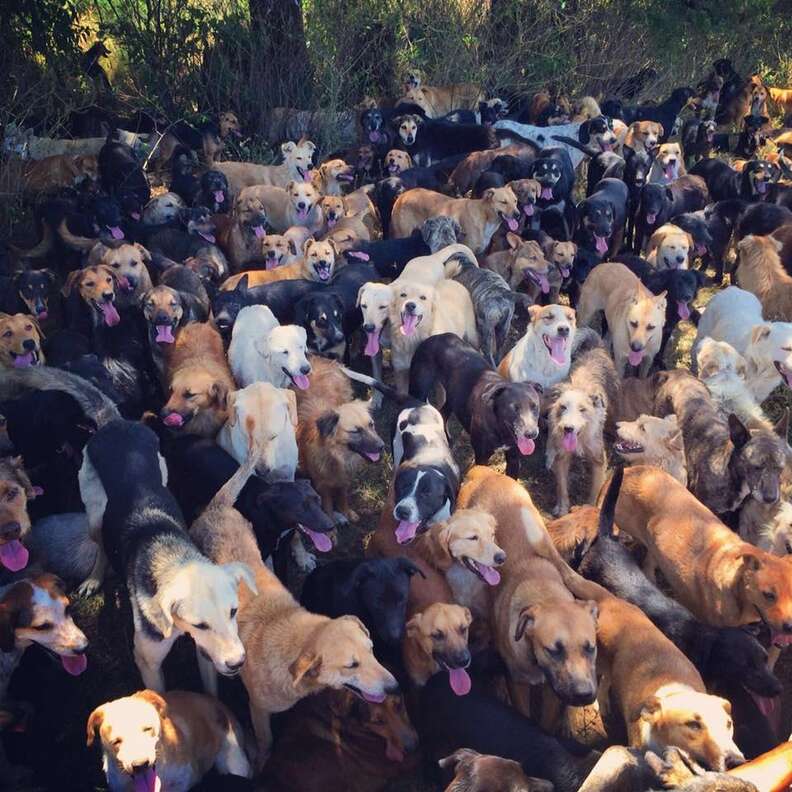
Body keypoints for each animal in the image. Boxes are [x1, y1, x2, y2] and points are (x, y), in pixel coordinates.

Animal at [390, 186, 520, 254]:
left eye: (515, 201)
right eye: (503, 202)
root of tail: (403, 195)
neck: (484, 216)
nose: (518, 215)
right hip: (401, 235)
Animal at [458, 468, 600, 716]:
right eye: (554, 650)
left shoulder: (554, 694)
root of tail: (485, 472)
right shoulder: (517, 683)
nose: (583, 695)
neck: (543, 592)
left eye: (590, 648)